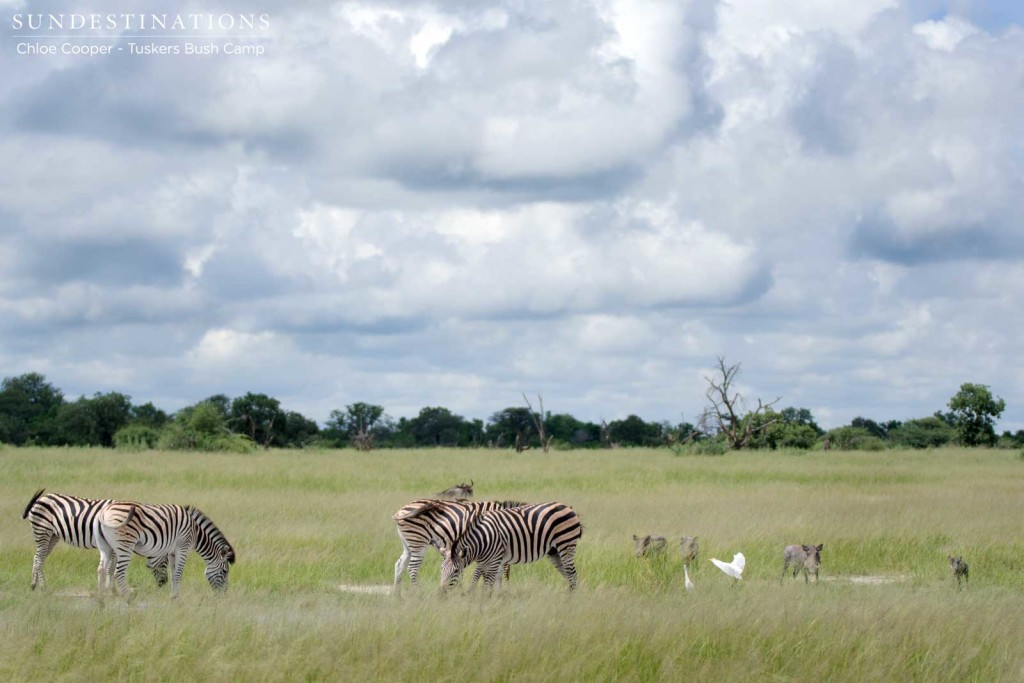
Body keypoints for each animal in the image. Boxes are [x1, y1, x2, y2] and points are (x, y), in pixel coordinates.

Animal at [21, 489, 172, 589]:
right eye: (166, 560)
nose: (164, 583)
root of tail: (41, 498)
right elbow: (111, 568)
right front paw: (111, 590)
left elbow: (111, 568)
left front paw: (111, 590)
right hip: (42, 531)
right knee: (39, 559)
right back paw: (42, 587)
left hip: (53, 536)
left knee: (38, 557)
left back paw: (33, 585)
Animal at [96, 501, 235, 598]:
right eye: (224, 571)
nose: (223, 594)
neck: (195, 532)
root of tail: (105, 512)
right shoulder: (183, 548)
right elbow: (178, 574)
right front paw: (177, 597)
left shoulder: (172, 552)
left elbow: (173, 574)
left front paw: (174, 596)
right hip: (125, 546)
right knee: (118, 573)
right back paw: (128, 597)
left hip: (106, 547)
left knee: (102, 569)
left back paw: (102, 599)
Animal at [387, 497, 524, 593]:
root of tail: (401, 510)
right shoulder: (489, 546)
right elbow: (498, 571)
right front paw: (498, 592)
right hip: (418, 541)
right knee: (412, 568)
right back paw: (419, 594)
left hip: (408, 544)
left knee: (399, 564)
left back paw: (398, 596)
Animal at [440, 501, 585, 593]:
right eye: (441, 569)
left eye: (456, 571)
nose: (441, 594)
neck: (483, 539)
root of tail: (567, 507)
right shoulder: (492, 560)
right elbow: (492, 577)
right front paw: (497, 597)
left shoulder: (493, 560)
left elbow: (486, 581)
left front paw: (483, 600)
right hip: (554, 551)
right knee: (568, 574)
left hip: (566, 544)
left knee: (571, 573)